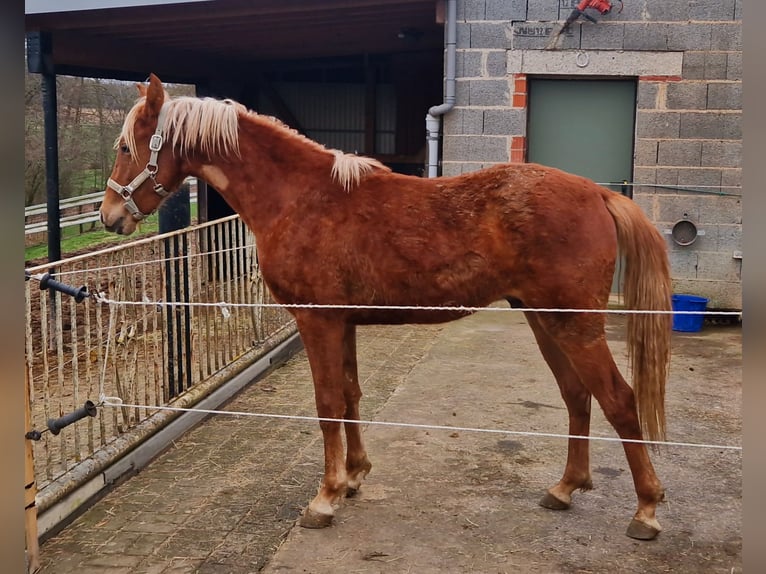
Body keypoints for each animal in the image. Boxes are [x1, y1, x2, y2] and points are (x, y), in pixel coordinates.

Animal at [100, 74, 672, 544]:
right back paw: (565, 488)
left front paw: (325, 497)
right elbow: (352, 394)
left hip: (576, 325)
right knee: (578, 397)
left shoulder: (317, 321)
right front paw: (354, 476)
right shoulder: (344, 322)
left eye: (126, 146)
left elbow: (328, 402)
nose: (108, 217)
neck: (300, 198)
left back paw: (646, 510)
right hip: (545, 321)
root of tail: (597, 193)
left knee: (620, 401)